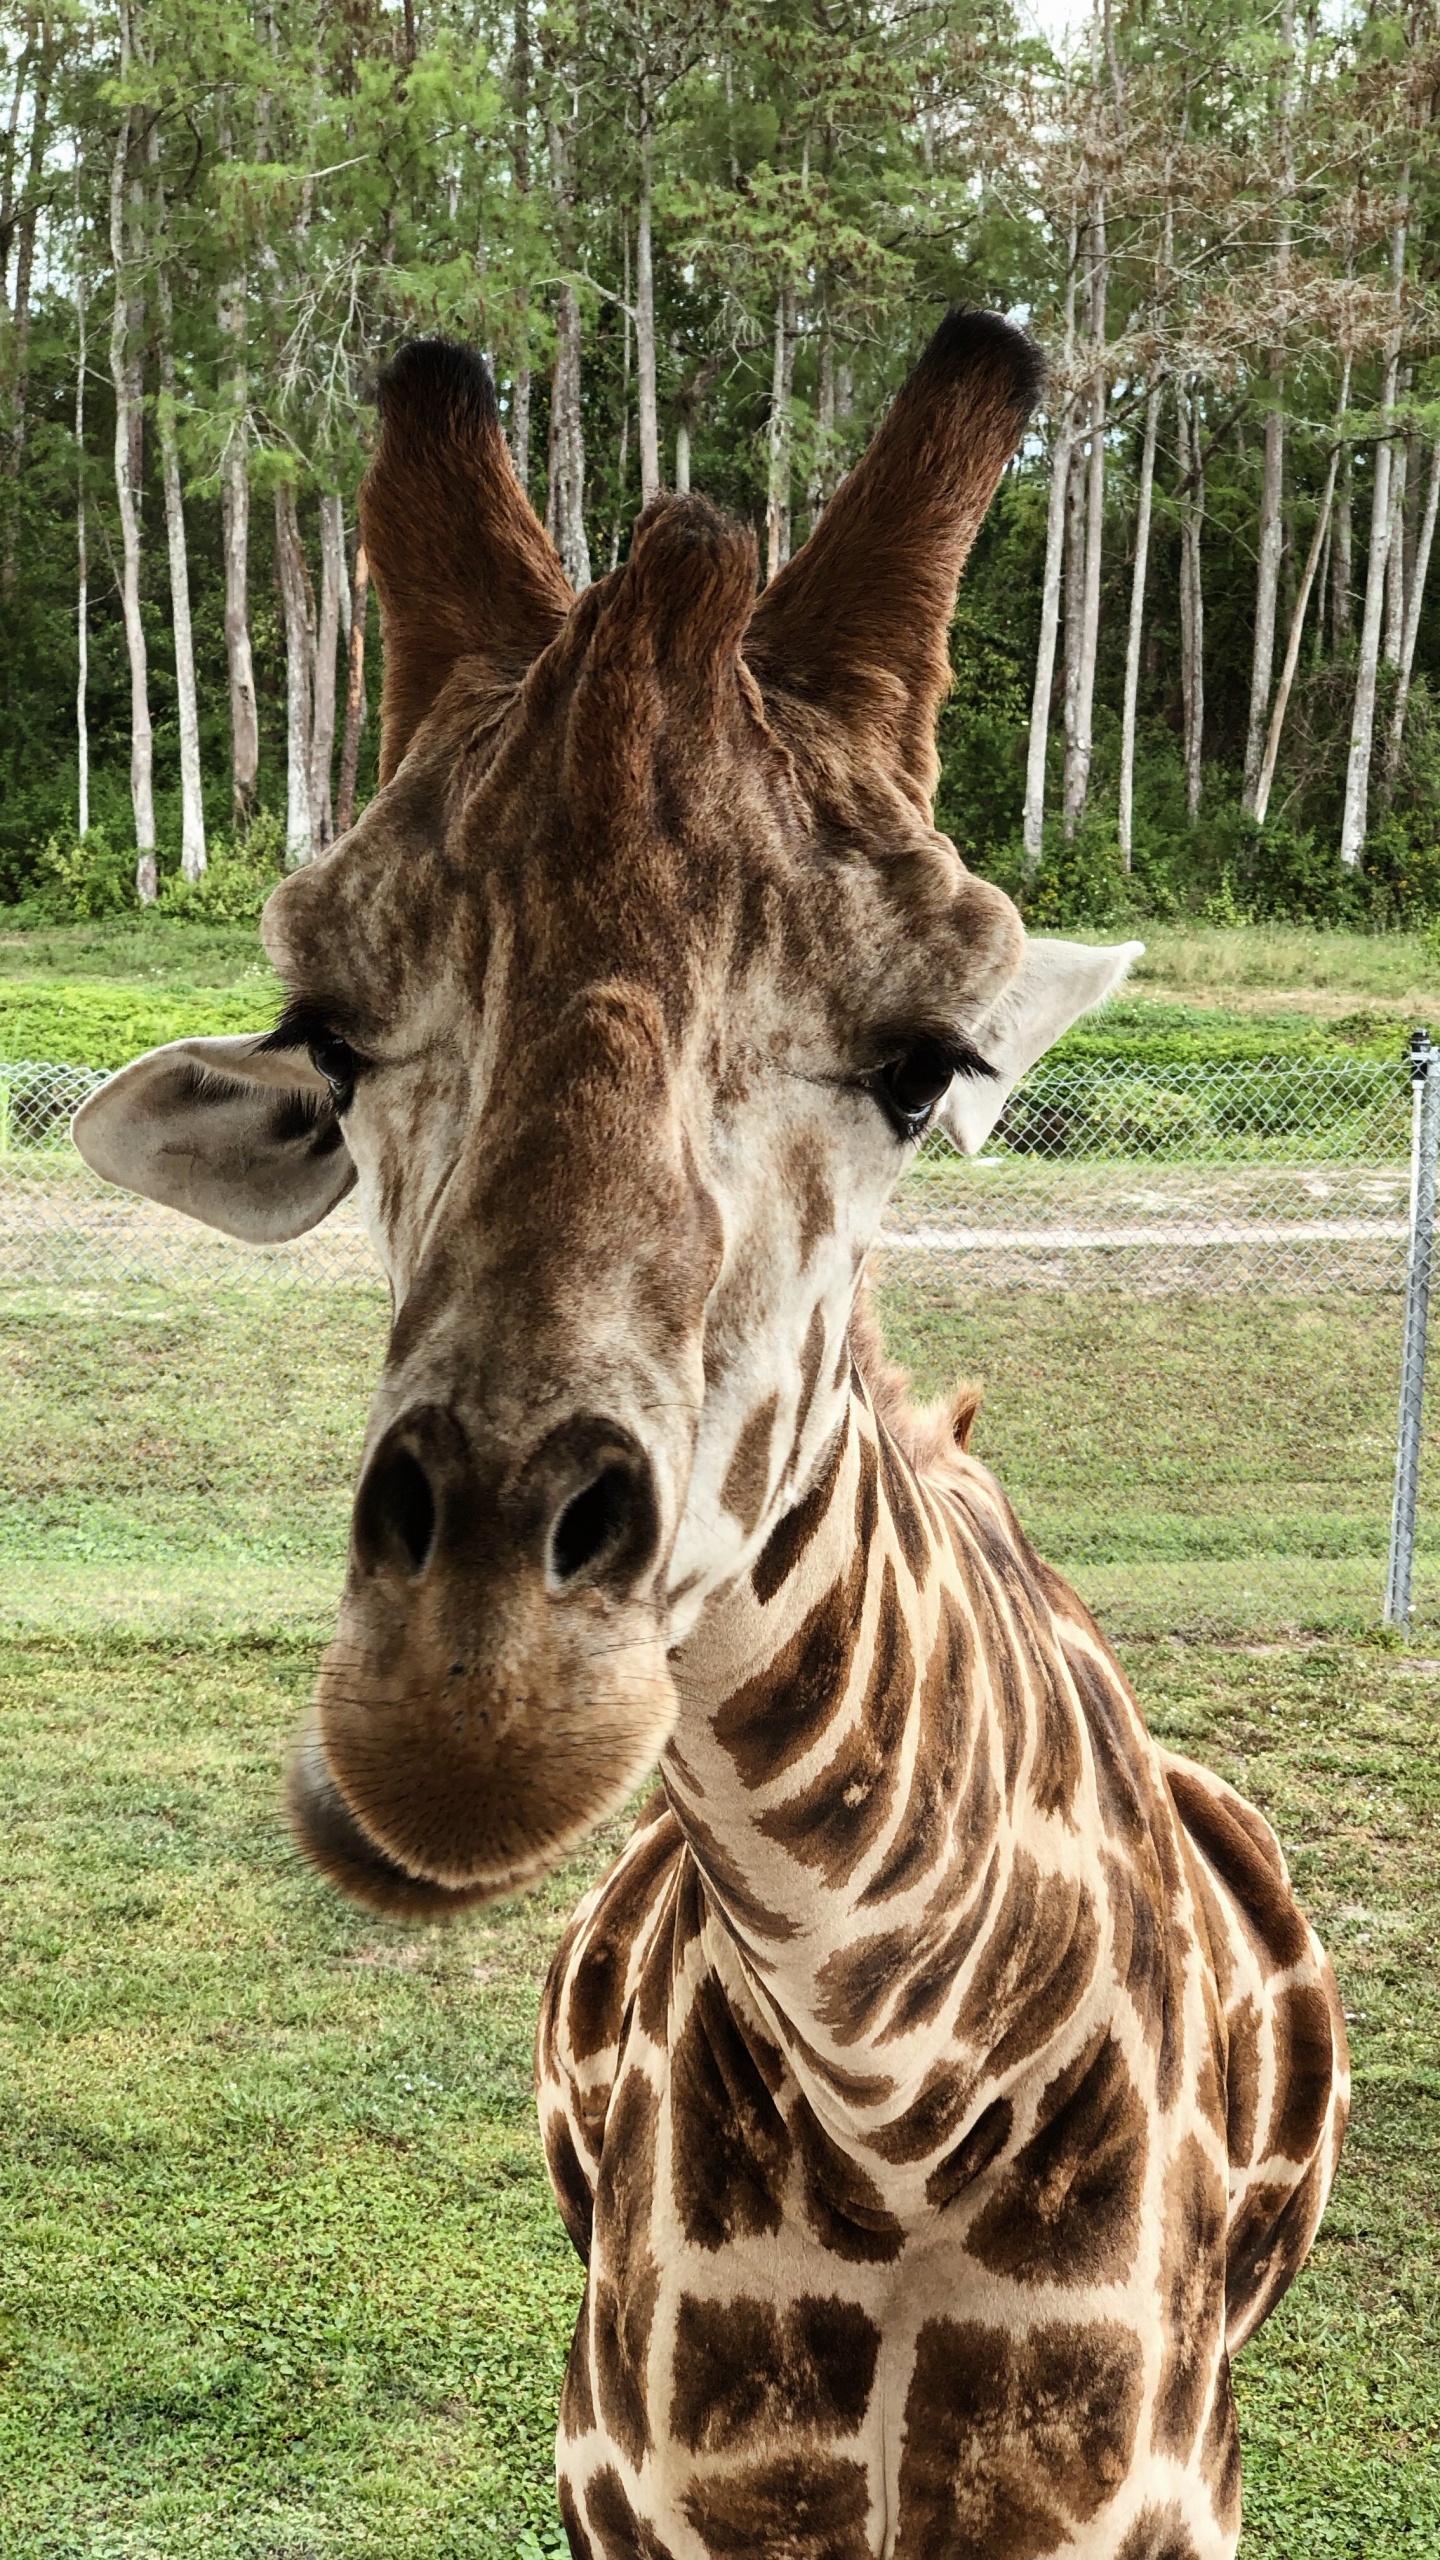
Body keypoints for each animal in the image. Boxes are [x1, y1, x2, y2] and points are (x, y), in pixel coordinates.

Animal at [75, 311, 1347, 2560]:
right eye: (330, 1044)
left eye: (928, 1069)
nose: (467, 1700)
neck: (899, 2096)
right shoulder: (627, 2480)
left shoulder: (1153, 2496)